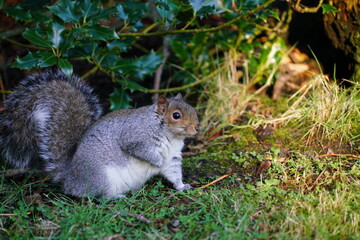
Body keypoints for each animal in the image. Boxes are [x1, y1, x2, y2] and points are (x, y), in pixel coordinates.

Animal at [0, 69, 200, 199]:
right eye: (176, 115)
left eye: (192, 108)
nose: (197, 128)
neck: (170, 136)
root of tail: (71, 179)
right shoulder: (135, 137)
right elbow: (141, 151)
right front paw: (157, 161)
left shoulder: (173, 157)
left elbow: (173, 172)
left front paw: (182, 186)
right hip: (101, 176)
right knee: (99, 196)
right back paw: (116, 198)